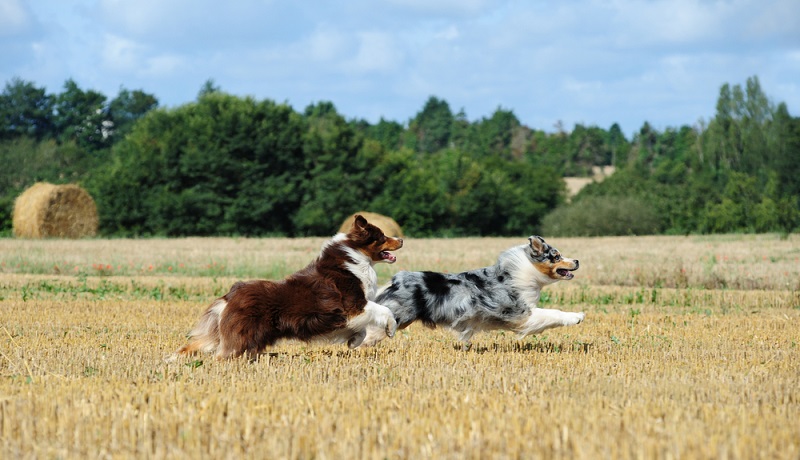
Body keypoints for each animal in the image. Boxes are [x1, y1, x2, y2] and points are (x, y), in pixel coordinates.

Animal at [362, 235, 580, 346]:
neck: (524, 272)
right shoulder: (520, 314)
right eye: (557, 256)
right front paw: (577, 316)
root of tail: (395, 281)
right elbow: (552, 313)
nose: (577, 260)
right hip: (395, 317)